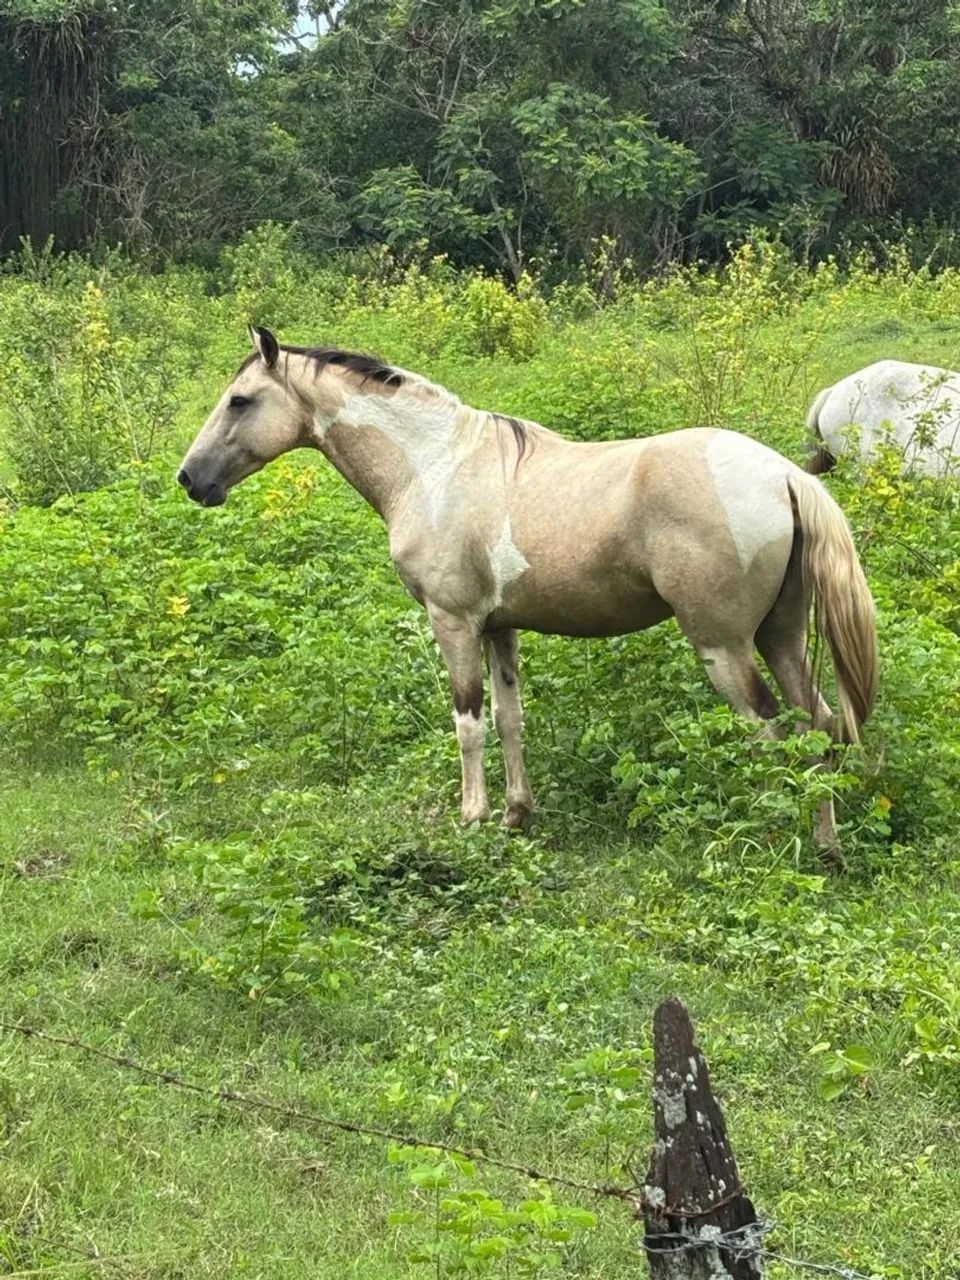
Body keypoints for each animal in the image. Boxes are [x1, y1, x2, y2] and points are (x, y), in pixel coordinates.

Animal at [178, 326, 877, 860]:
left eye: (239, 401)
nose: (190, 479)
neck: (435, 467)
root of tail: (784, 475)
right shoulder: (500, 628)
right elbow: (510, 719)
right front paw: (518, 814)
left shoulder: (453, 623)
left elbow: (468, 722)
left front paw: (473, 817)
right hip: (780, 637)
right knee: (819, 727)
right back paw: (827, 848)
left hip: (724, 648)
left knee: (776, 734)